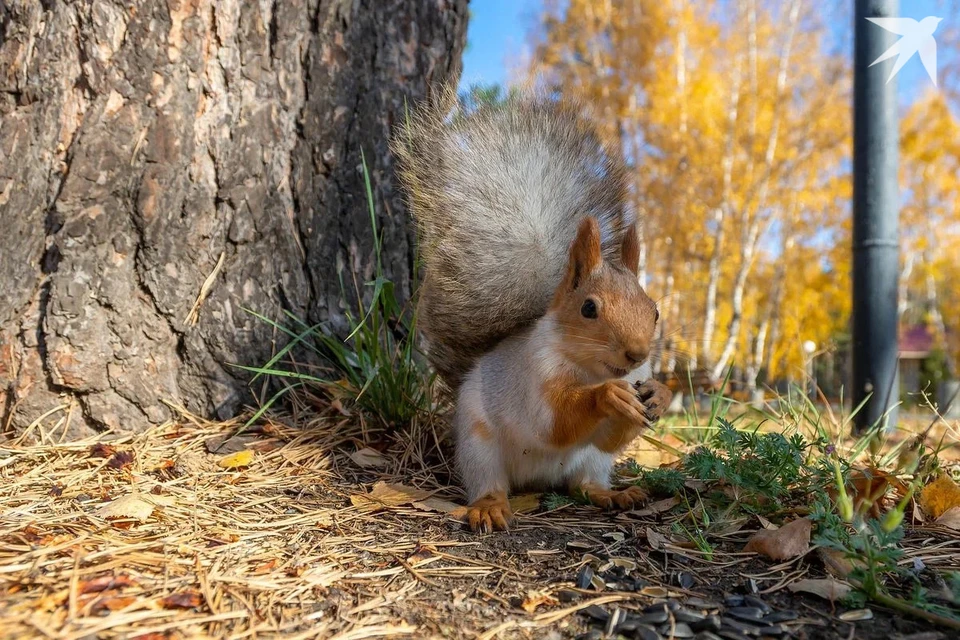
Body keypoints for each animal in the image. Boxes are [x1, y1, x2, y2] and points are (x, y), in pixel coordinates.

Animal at [394, 90, 672, 528]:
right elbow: (554, 423)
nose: (637, 353)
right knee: (489, 481)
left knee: (584, 483)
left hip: (592, 462)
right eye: (588, 308)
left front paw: (660, 394)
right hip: (479, 447)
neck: (589, 369)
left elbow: (611, 437)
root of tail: (537, 480)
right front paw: (608, 396)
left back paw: (614, 494)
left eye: (655, 310)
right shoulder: (533, 377)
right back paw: (490, 506)